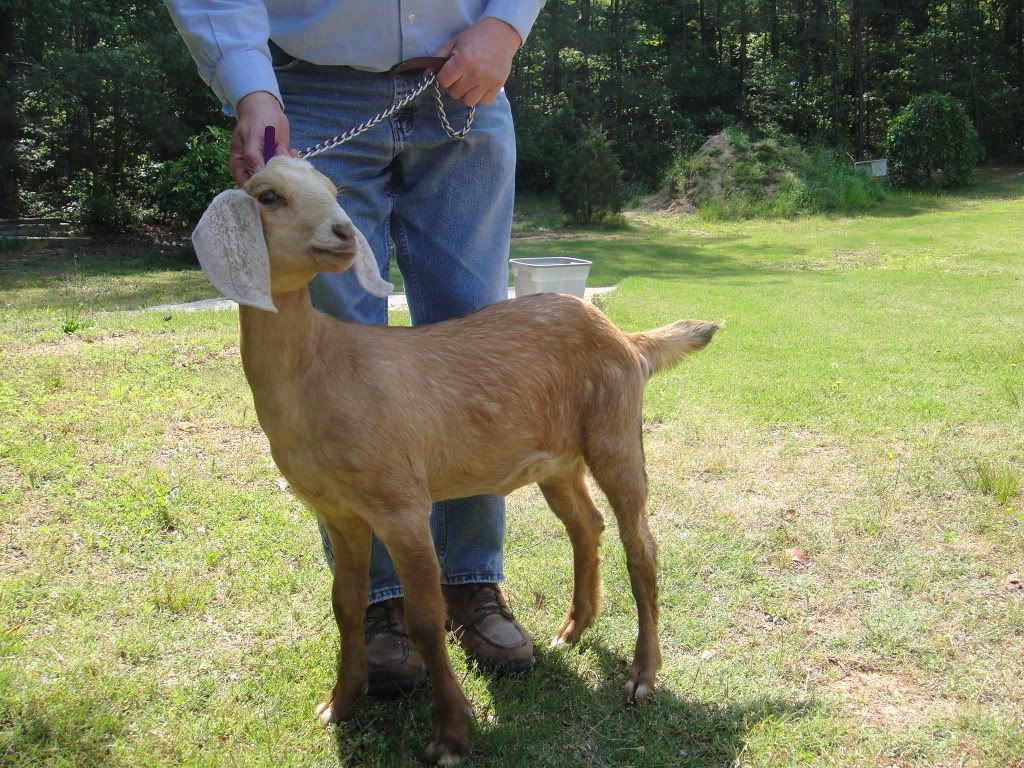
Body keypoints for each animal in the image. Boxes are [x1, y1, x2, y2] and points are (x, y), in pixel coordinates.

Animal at [192, 157, 719, 765]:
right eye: (269, 196)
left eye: (332, 189)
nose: (343, 233)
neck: (320, 368)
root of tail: (628, 340)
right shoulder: (340, 512)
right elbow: (345, 606)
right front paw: (339, 702)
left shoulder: (401, 504)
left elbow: (426, 620)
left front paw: (450, 733)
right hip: (558, 460)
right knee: (588, 525)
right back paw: (573, 627)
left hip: (615, 433)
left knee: (643, 547)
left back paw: (642, 676)